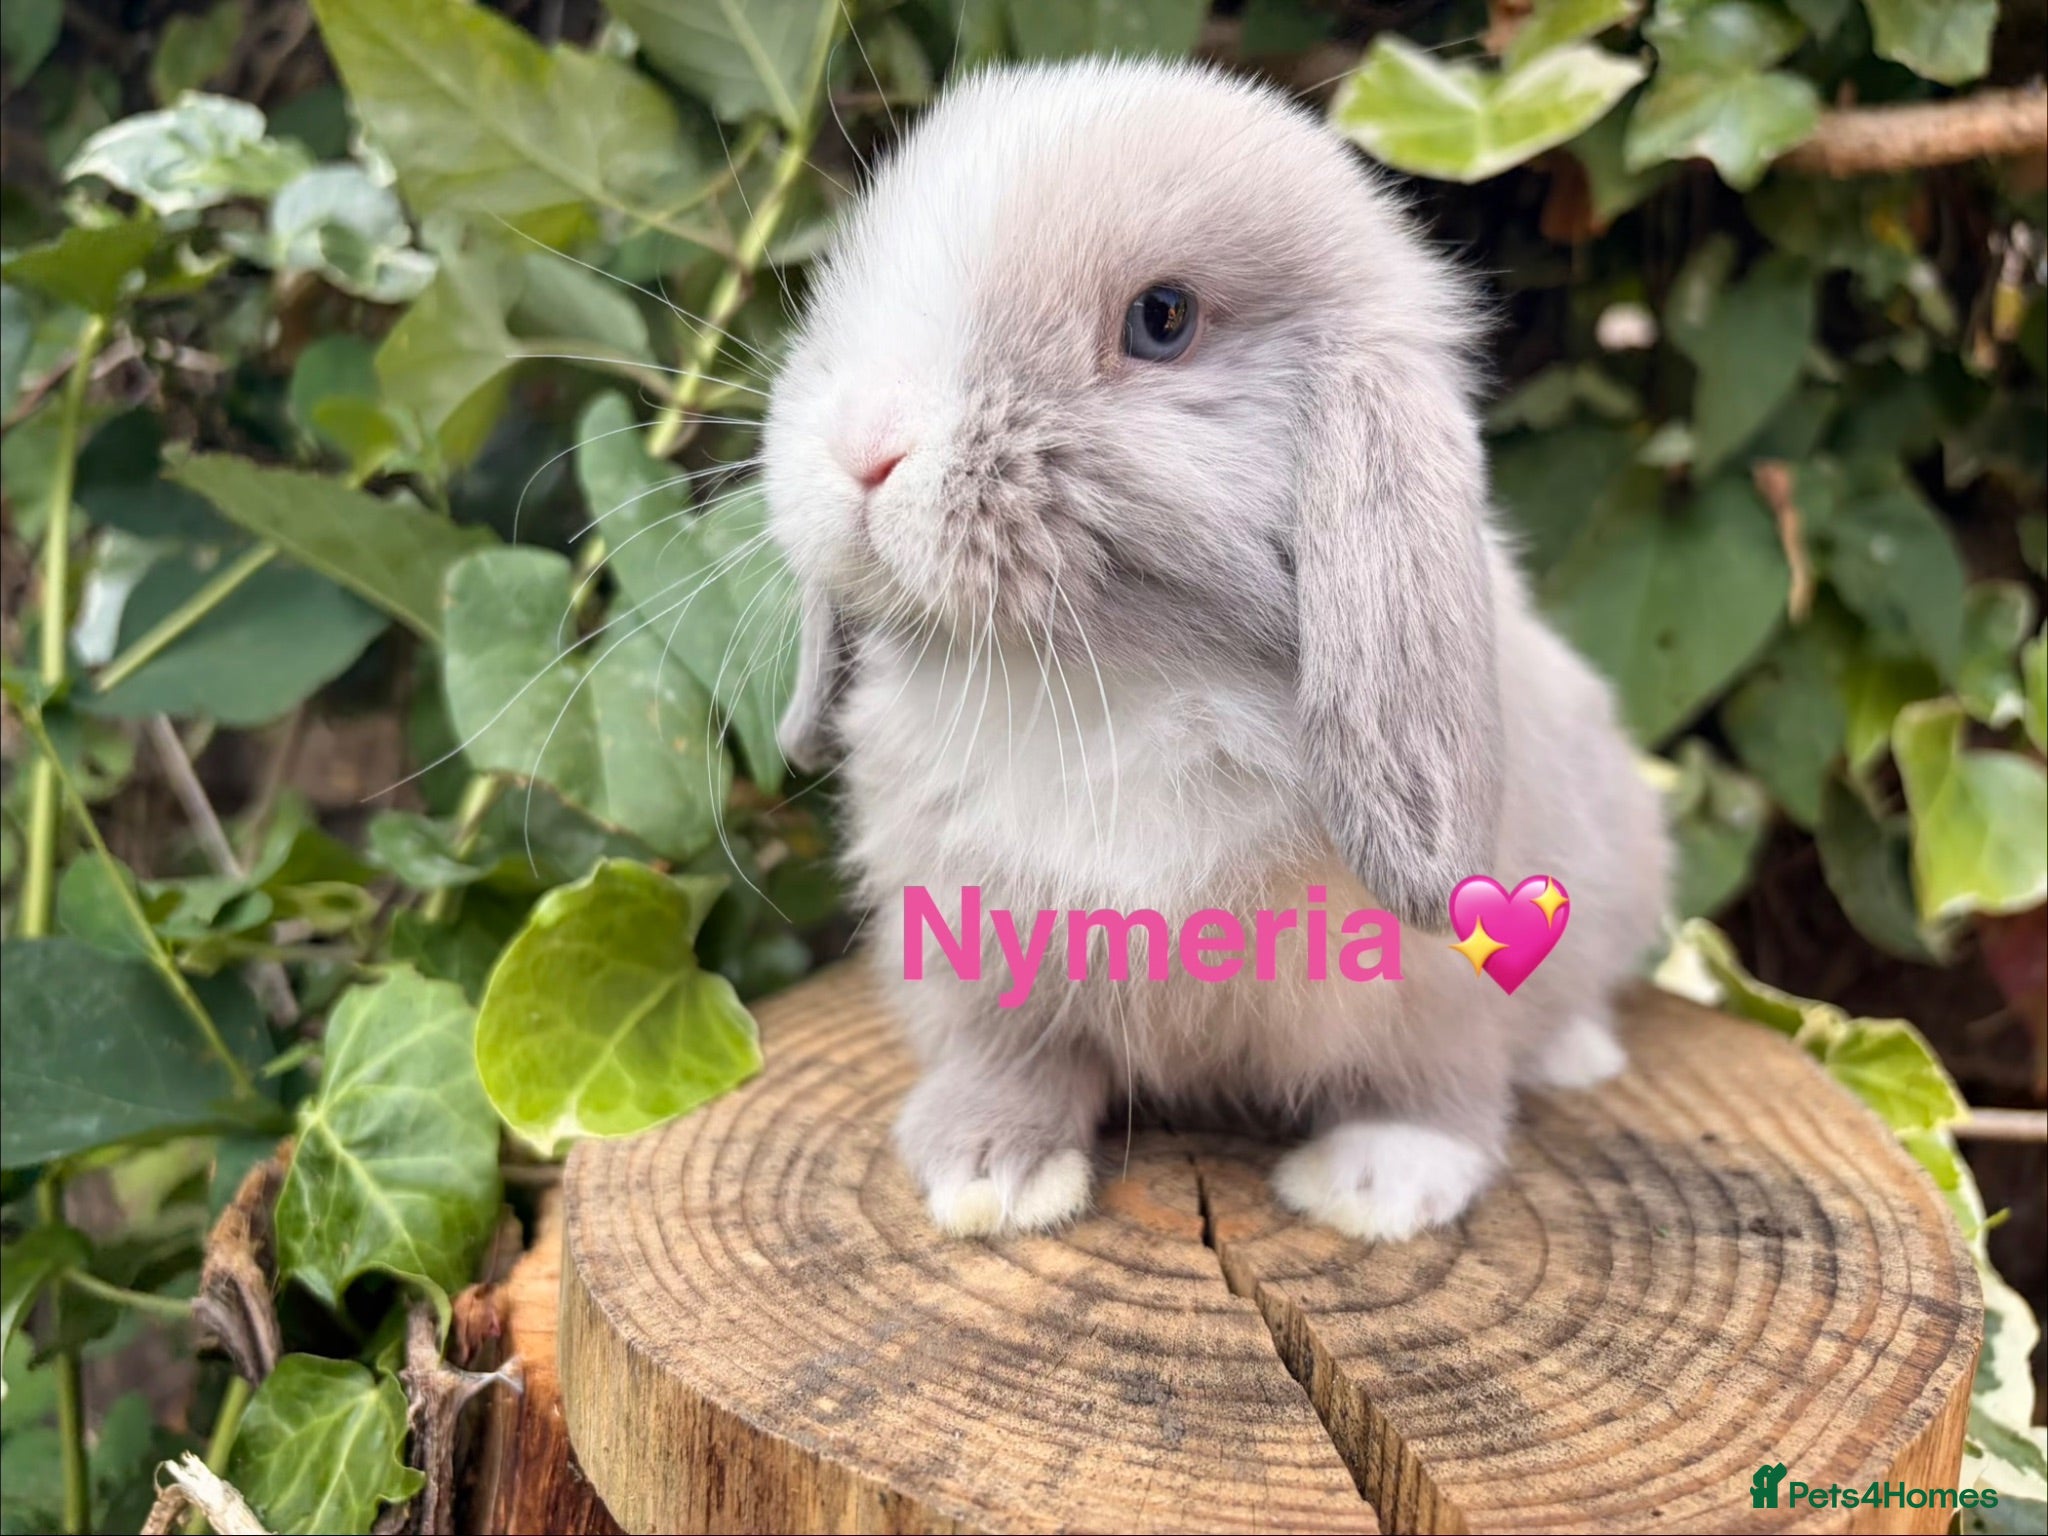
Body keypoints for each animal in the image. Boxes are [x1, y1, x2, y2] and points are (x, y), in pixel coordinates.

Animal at [761, 57, 1671, 1242]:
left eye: (1162, 320)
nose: (866, 445)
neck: (1105, 684)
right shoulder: (983, 960)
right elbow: (1012, 1059)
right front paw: (987, 1174)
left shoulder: (1436, 987)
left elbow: (1431, 1082)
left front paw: (1376, 1188)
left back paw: (1576, 1054)